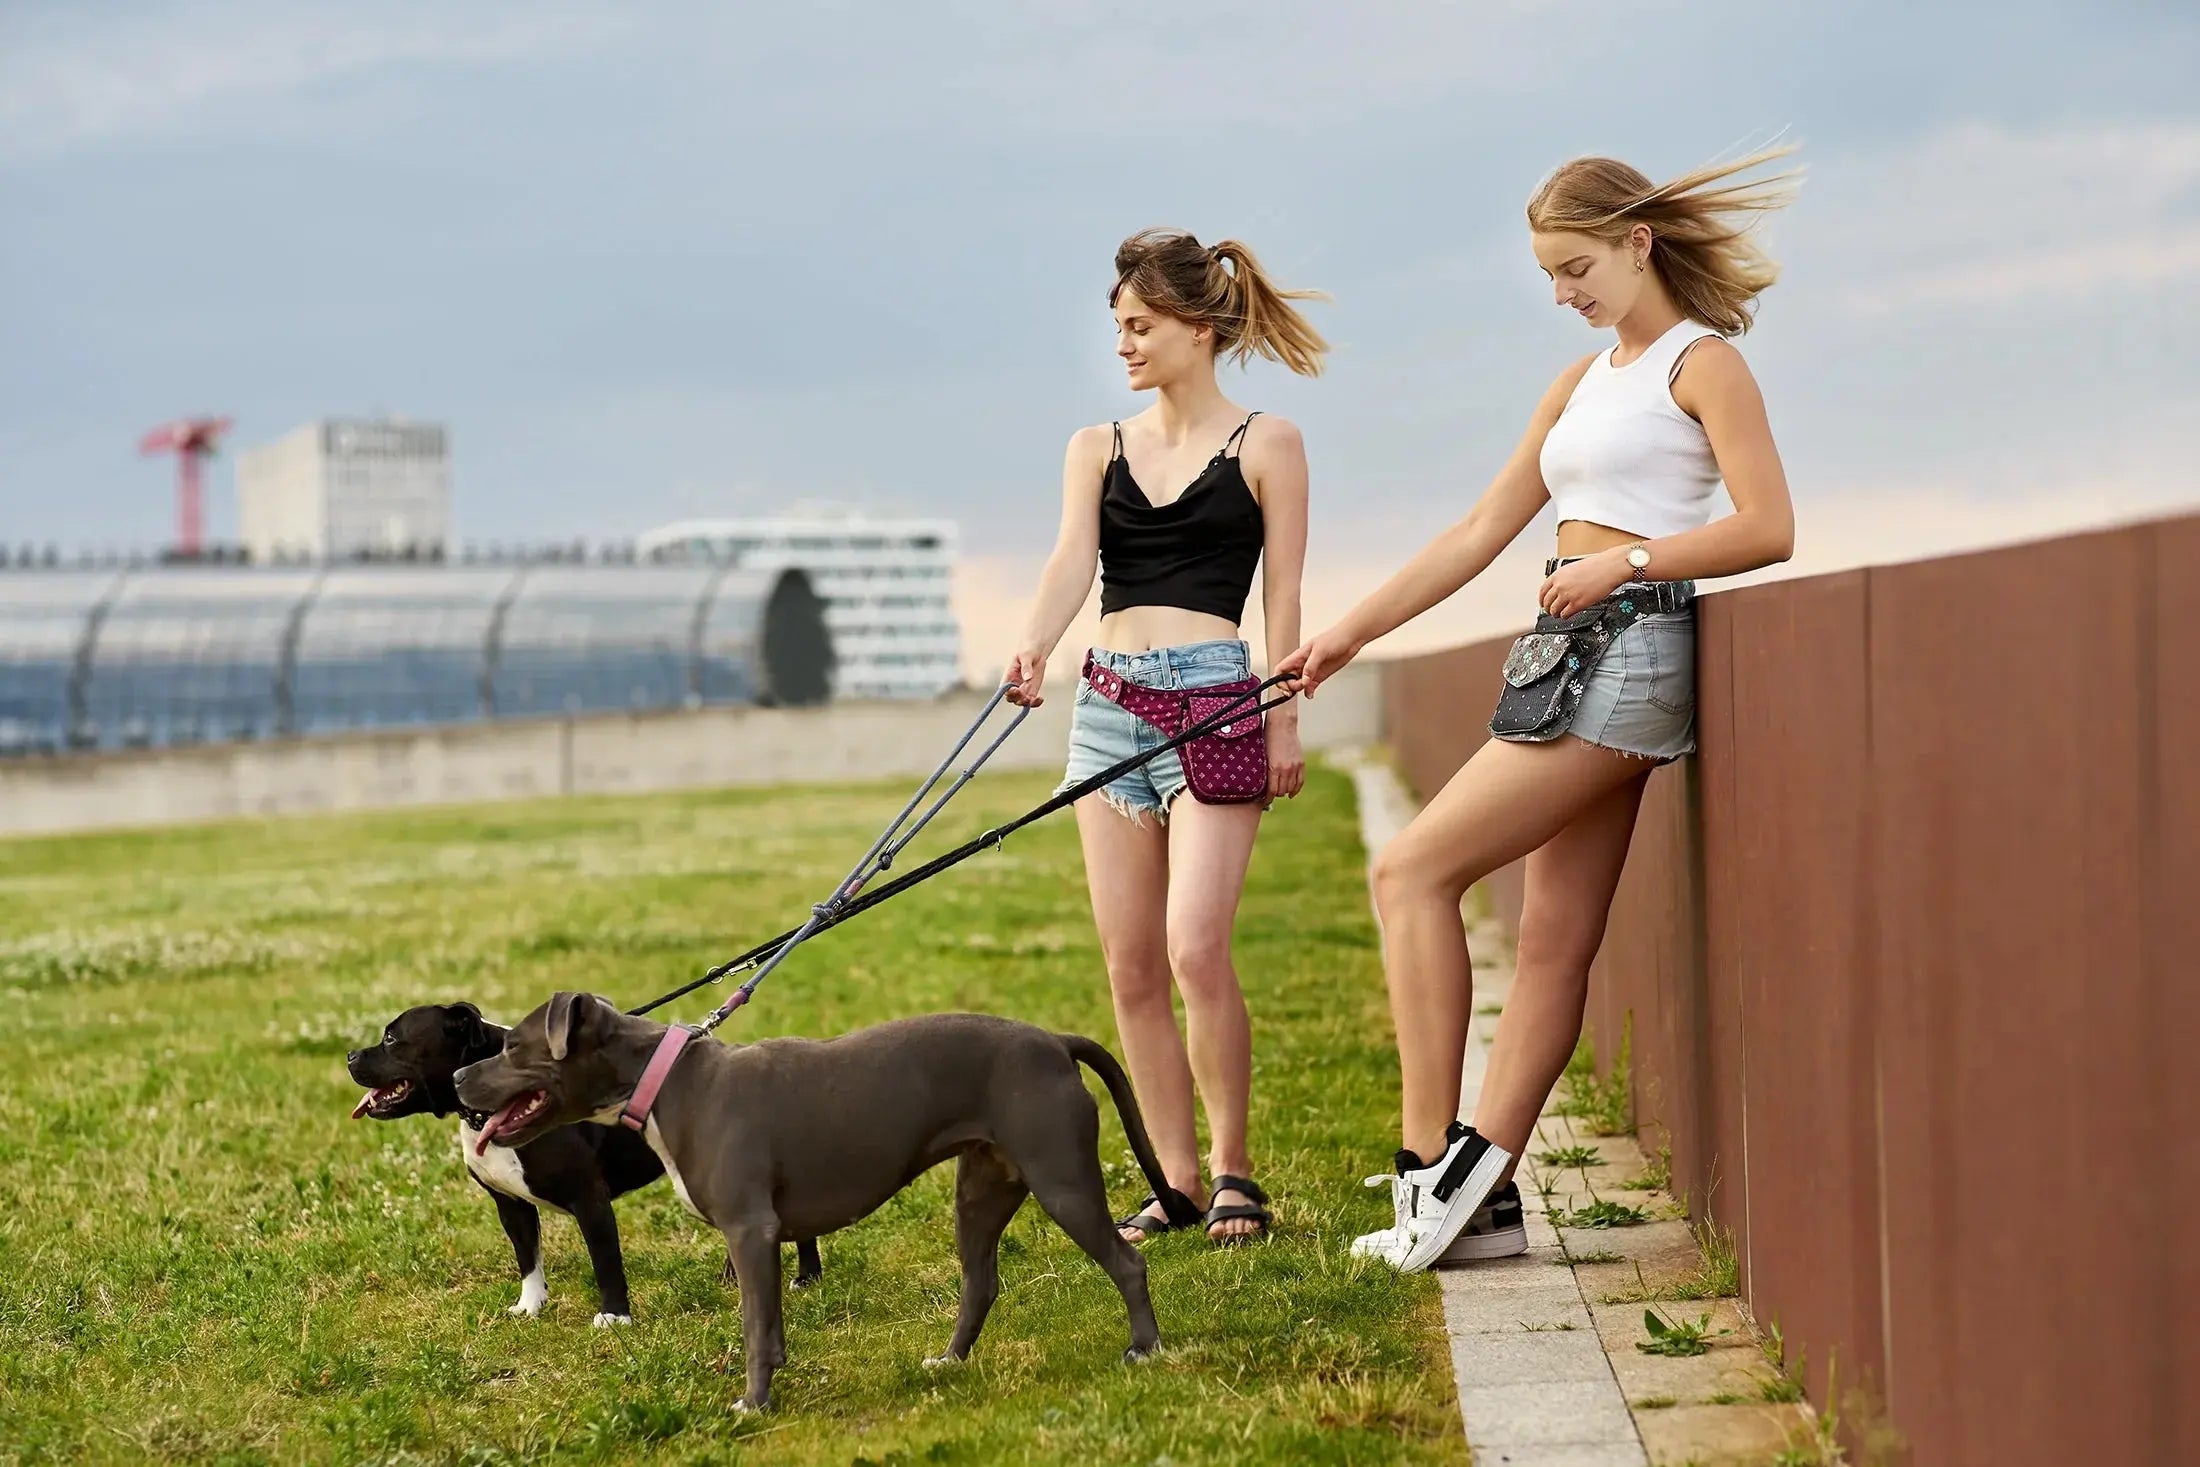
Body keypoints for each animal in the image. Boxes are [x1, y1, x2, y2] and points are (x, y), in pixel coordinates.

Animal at [343, 1002, 827, 1328]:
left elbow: (604, 1260)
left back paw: (806, 1277)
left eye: (391, 1039)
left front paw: (614, 1318)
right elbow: (528, 1258)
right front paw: (530, 1306)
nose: (349, 1055)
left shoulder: (589, 1199)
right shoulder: (511, 1206)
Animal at [453, 994, 1179, 1416]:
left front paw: (752, 1404)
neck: (663, 1083)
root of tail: (1055, 1041)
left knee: (1126, 1264)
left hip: (1062, 1180)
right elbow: (770, 1326)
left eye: (511, 1046)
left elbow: (754, 1327)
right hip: (981, 1191)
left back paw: (1144, 1350)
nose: (458, 1075)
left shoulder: (749, 1231)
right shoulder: (760, 1241)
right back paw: (948, 1361)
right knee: (981, 1282)